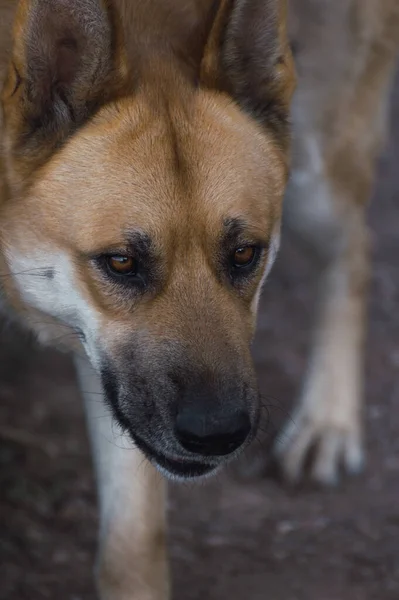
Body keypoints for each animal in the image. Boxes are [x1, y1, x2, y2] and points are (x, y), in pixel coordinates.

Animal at [0, 0, 398, 596]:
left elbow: (132, 553)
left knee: (356, 248)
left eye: (245, 253)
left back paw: (327, 423)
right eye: (121, 262)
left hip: (315, 180)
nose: (218, 435)